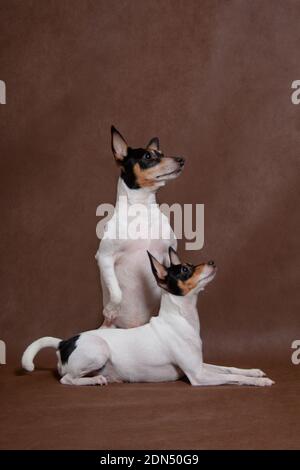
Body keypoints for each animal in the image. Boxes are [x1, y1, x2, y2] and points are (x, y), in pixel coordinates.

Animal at [21, 248, 274, 388]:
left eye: (191, 265)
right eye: (185, 270)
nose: (211, 262)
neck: (182, 318)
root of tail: (65, 342)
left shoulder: (199, 364)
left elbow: (230, 369)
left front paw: (253, 372)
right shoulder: (198, 375)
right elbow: (231, 378)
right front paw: (259, 382)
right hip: (99, 350)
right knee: (67, 380)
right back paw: (94, 380)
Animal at [96, 126, 184, 328]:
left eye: (163, 154)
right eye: (148, 156)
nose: (181, 159)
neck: (142, 209)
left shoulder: (168, 255)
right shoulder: (104, 258)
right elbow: (116, 292)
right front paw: (111, 309)